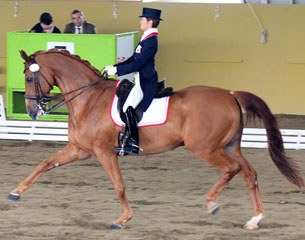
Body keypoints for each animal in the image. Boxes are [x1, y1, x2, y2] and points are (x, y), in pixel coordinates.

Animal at [8, 49, 302, 231]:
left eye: (28, 76)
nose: (33, 111)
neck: (88, 99)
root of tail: (230, 94)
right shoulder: (79, 149)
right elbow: (45, 164)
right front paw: (15, 192)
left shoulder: (104, 152)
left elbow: (119, 186)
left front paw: (123, 219)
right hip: (228, 146)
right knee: (249, 173)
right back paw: (254, 219)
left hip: (205, 148)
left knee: (233, 169)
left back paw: (212, 204)